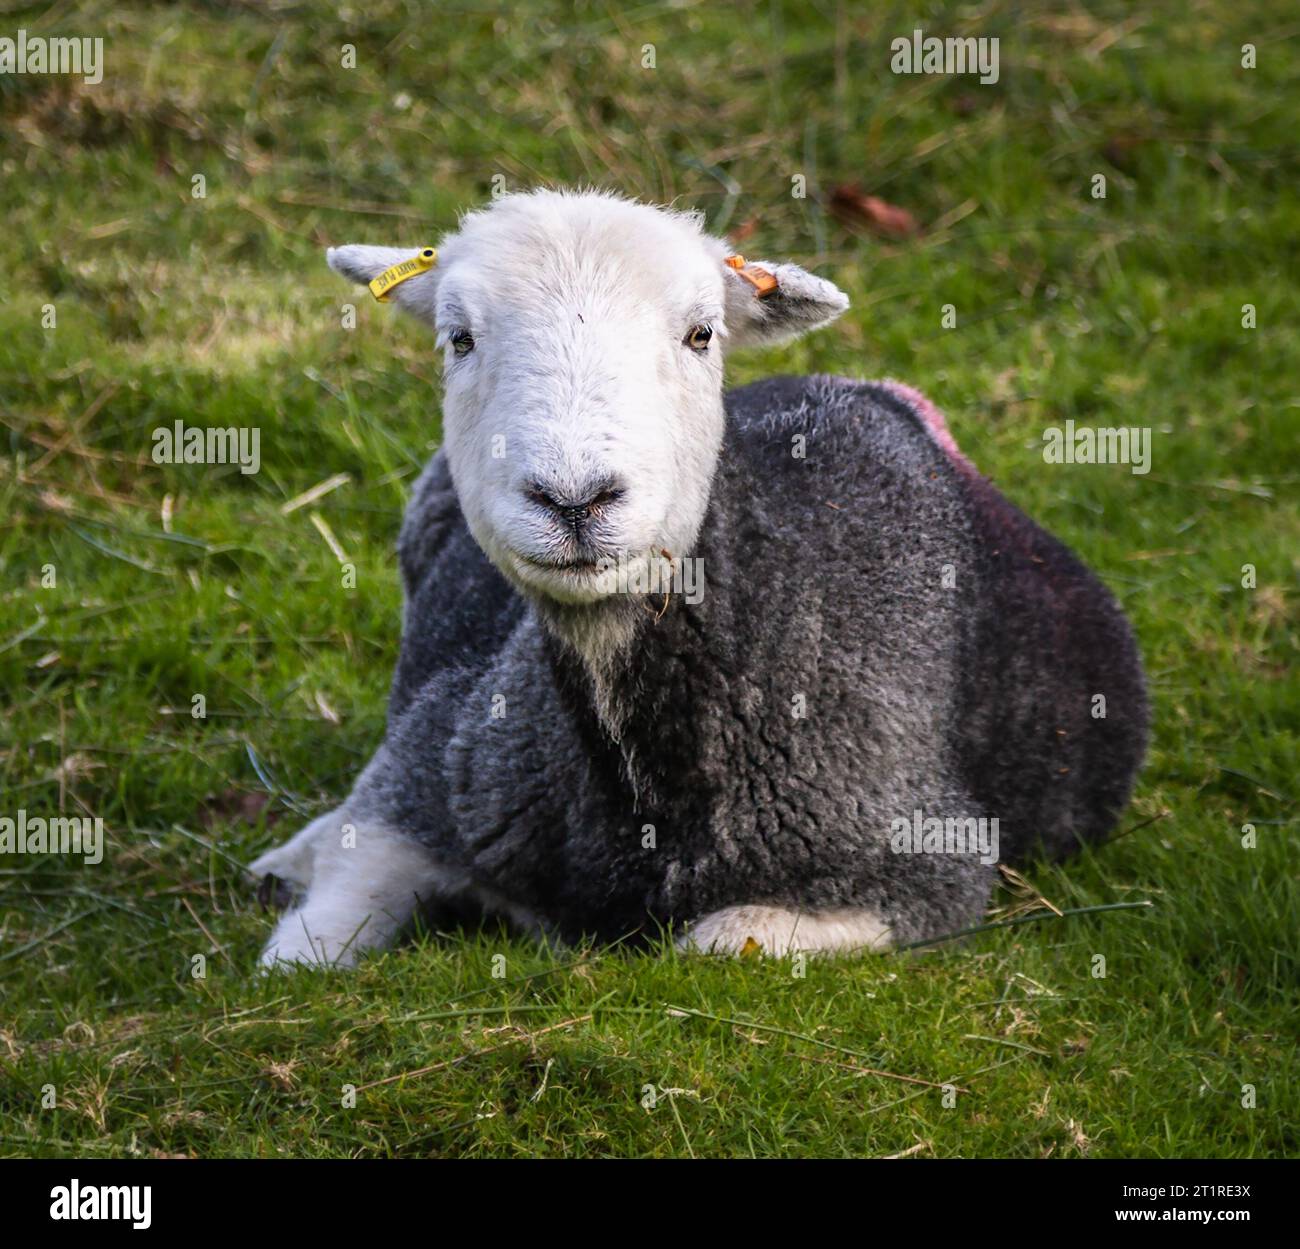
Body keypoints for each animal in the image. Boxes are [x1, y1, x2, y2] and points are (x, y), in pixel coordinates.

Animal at [245, 187, 1149, 966]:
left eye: (702, 333)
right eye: (458, 337)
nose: (575, 499)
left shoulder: (919, 872)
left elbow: (711, 943)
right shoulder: (431, 761)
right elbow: (308, 949)